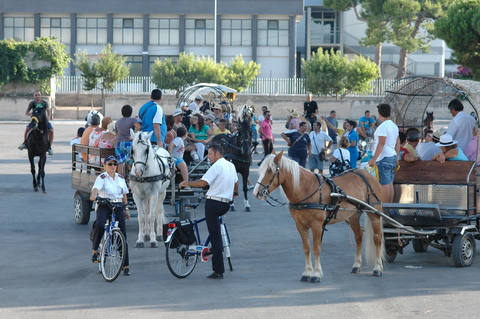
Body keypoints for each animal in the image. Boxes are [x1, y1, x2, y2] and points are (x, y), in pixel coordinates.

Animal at [253, 152, 384, 282]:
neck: (305, 189)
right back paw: (356, 266)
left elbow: (316, 248)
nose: (256, 193)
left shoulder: (317, 225)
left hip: (374, 212)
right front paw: (307, 273)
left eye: (270, 170)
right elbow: (306, 248)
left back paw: (377, 268)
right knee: (358, 237)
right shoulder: (300, 225)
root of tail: (368, 175)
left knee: (377, 238)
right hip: (354, 215)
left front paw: (316, 274)